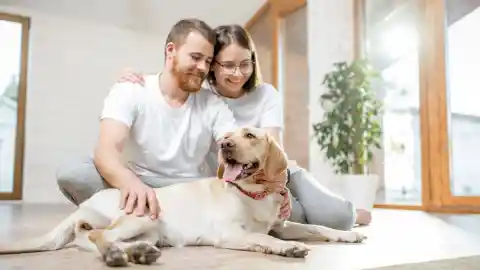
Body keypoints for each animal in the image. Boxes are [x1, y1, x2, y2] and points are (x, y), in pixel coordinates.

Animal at [0, 126, 364, 266]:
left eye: (249, 135)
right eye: (227, 136)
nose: (225, 145)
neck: (254, 193)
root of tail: (84, 207)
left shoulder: (282, 224)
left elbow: (318, 227)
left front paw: (348, 235)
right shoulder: (231, 233)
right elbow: (266, 240)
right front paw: (287, 249)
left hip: (151, 230)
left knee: (95, 239)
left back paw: (138, 253)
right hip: (141, 215)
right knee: (99, 236)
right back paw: (118, 255)